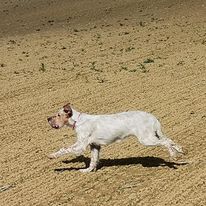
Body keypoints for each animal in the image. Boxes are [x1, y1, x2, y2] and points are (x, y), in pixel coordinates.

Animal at [47, 103, 183, 172]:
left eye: (58, 115)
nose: (48, 118)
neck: (78, 121)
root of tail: (153, 117)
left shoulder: (80, 145)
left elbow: (64, 149)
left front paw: (52, 155)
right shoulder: (95, 146)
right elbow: (93, 160)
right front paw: (87, 170)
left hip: (146, 139)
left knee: (165, 142)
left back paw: (173, 155)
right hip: (151, 136)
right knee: (169, 140)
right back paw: (180, 150)